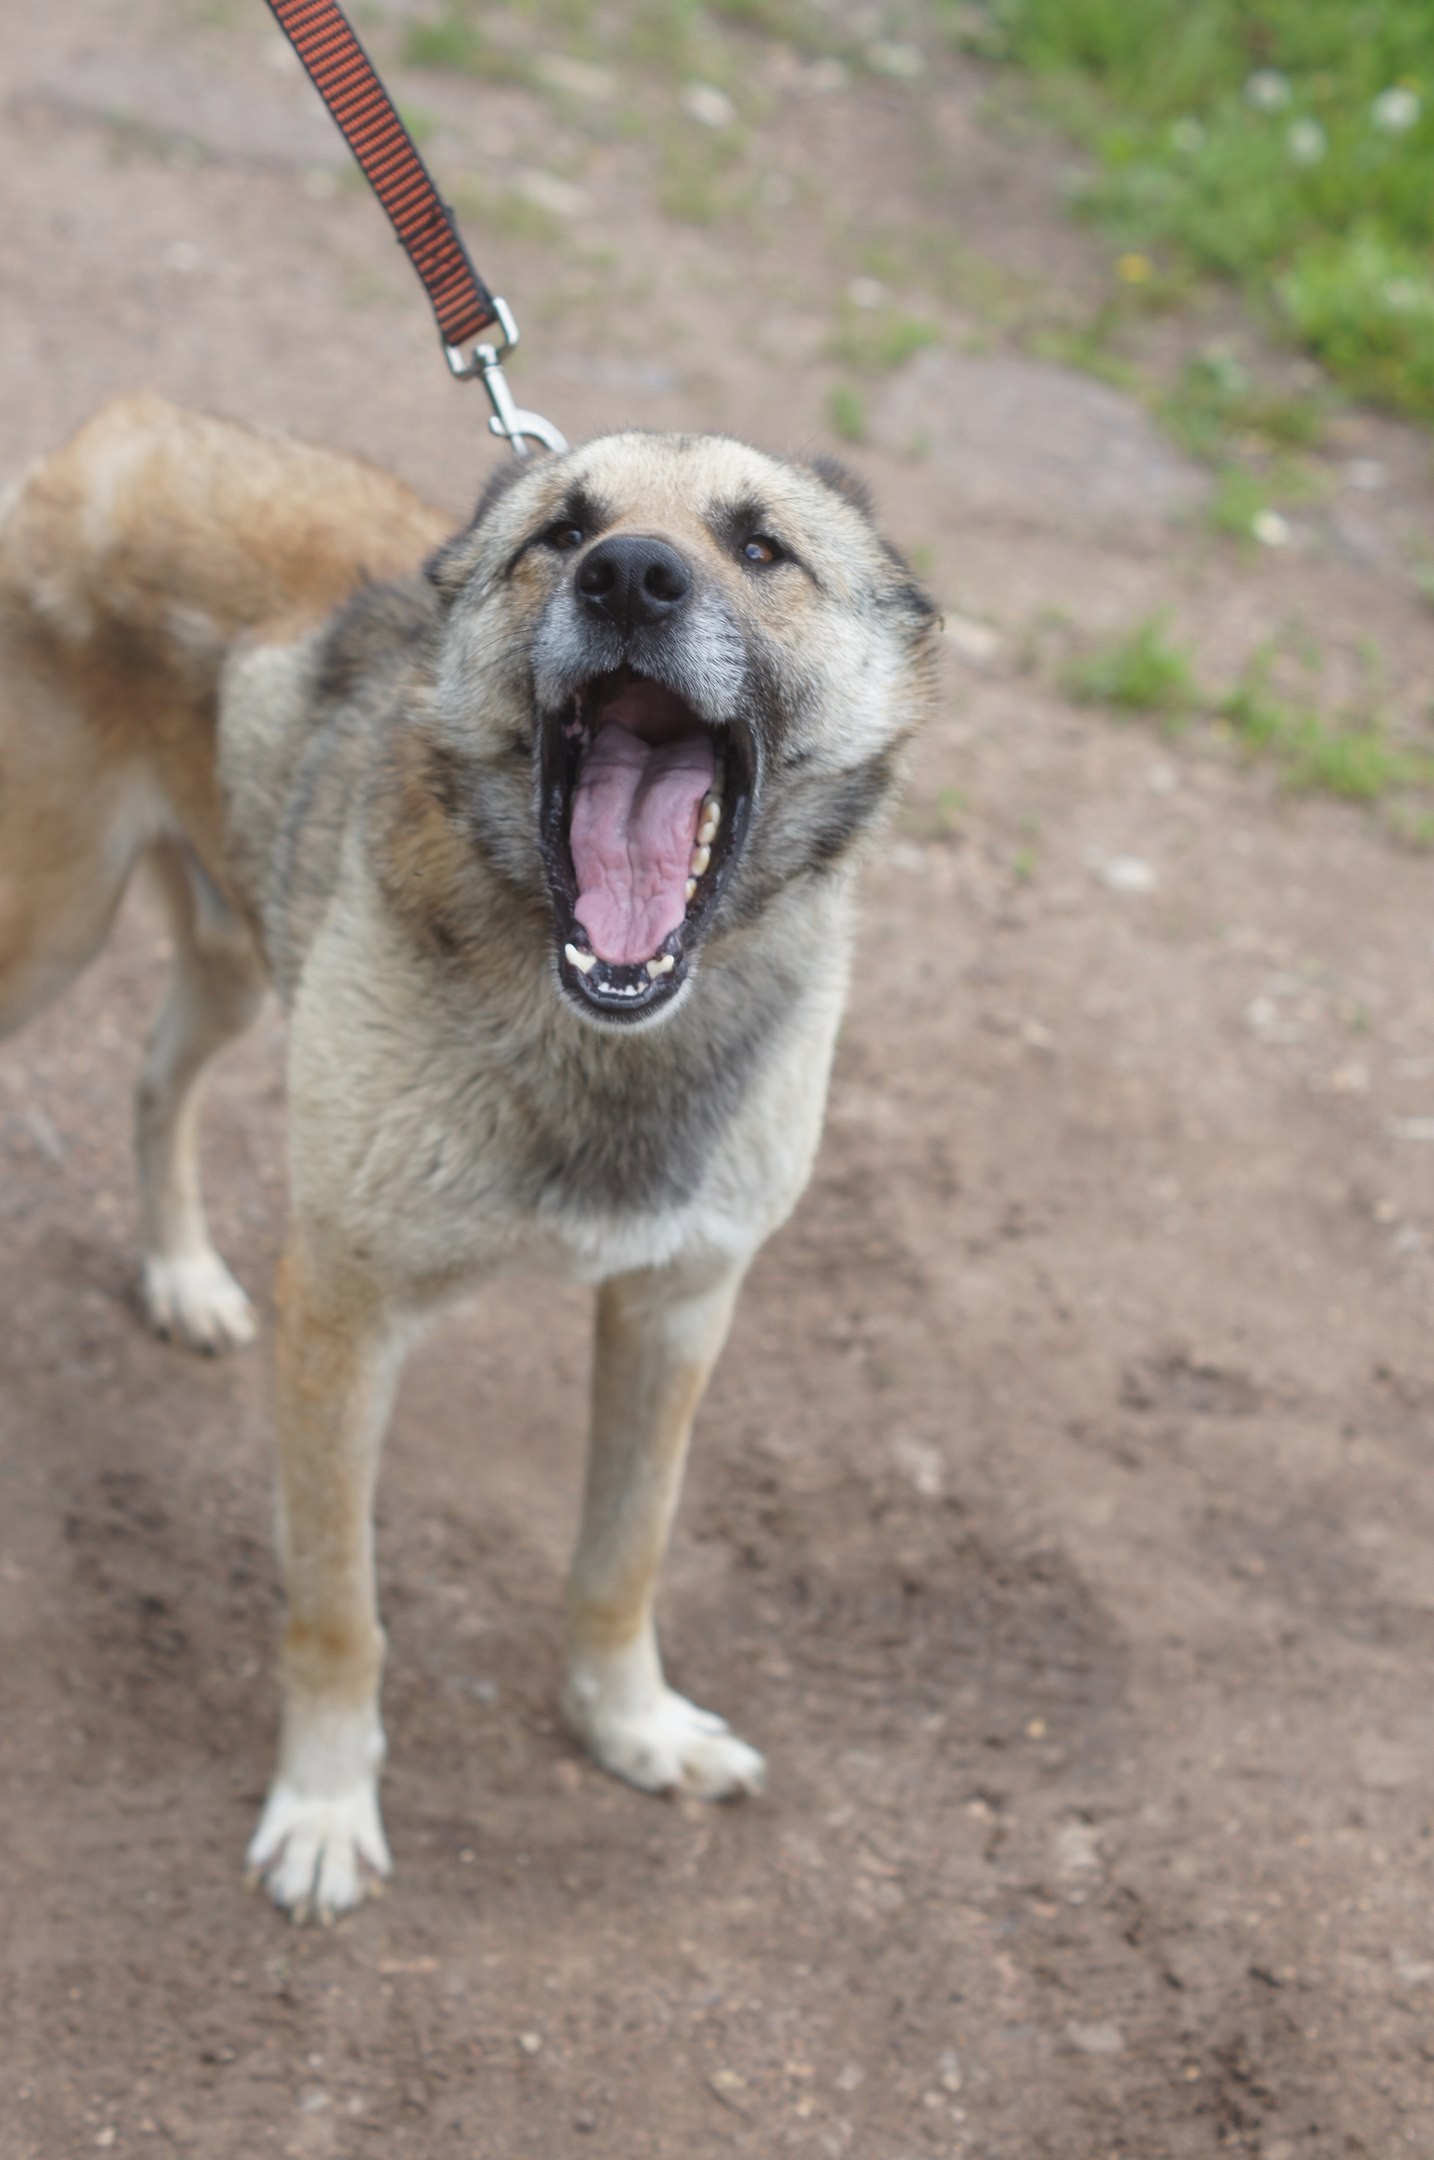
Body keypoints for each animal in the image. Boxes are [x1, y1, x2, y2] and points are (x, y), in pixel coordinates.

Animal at [0, 397, 937, 1918]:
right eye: (561, 529)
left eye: (761, 548)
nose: (631, 579)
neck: (601, 1037)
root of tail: (120, 430)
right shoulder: (342, 1315)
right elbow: (339, 1610)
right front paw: (325, 1806)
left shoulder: (680, 1309)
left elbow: (622, 1559)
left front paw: (629, 1725)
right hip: (50, 929)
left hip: (235, 956)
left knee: (151, 1082)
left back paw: (182, 1276)